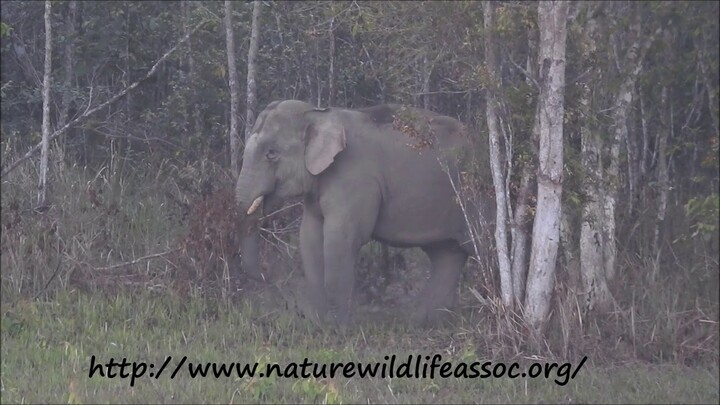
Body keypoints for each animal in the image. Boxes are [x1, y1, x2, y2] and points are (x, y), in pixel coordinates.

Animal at [235, 100, 482, 326]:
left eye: (271, 153)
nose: (267, 276)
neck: (318, 113)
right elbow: (310, 238)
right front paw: (320, 325)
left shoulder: (353, 180)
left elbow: (341, 240)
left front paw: (339, 330)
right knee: (447, 255)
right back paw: (425, 322)